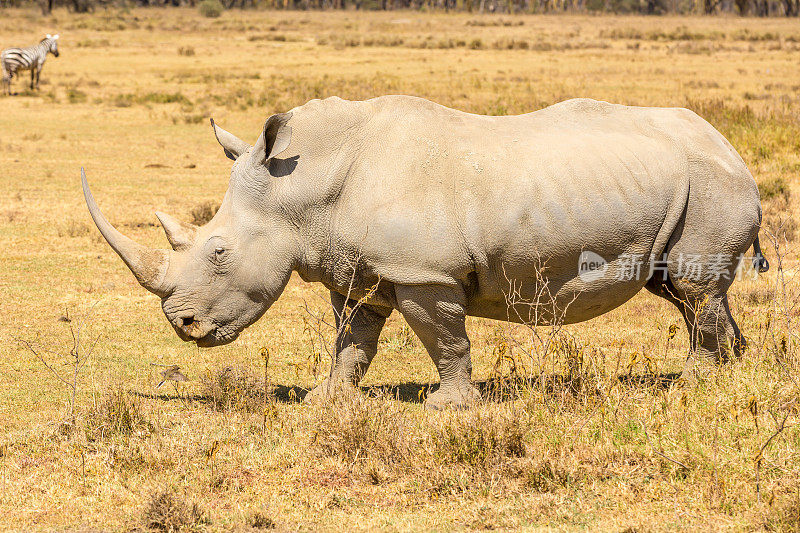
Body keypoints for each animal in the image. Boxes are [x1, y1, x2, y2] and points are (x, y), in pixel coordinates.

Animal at [83, 95, 768, 410]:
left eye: (219, 251)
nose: (182, 325)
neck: (302, 185)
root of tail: (730, 145)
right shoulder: (359, 271)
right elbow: (352, 340)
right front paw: (325, 402)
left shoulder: (424, 273)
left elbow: (445, 339)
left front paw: (447, 406)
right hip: (687, 183)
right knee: (688, 292)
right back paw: (731, 374)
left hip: (710, 181)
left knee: (694, 290)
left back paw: (693, 384)